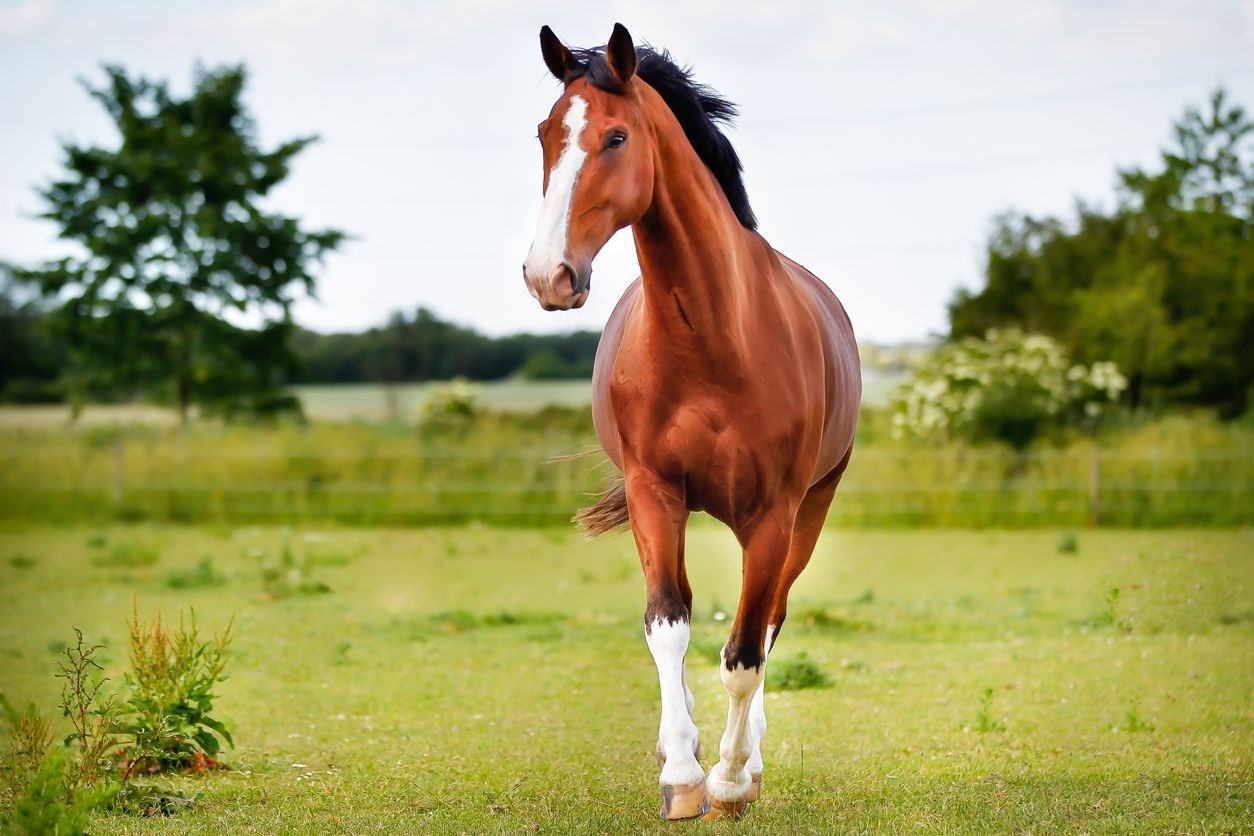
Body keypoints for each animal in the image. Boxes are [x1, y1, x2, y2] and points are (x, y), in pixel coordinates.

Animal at [519, 22, 862, 822]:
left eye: (616, 137)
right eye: (545, 134)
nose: (548, 275)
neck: (711, 339)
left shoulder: (773, 512)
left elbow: (744, 654)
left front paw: (730, 781)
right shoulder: (655, 492)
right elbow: (668, 626)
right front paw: (681, 774)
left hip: (807, 513)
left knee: (769, 622)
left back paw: (749, 762)